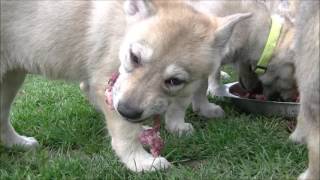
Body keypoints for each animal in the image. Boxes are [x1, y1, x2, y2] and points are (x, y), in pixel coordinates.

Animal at [0, 0, 250, 172]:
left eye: (173, 80)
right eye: (134, 57)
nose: (127, 110)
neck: (124, 26)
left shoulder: (187, 84)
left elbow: (179, 104)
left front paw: (178, 125)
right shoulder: (104, 85)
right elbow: (124, 131)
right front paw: (140, 161)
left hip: (11, 79)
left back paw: (18, 144)